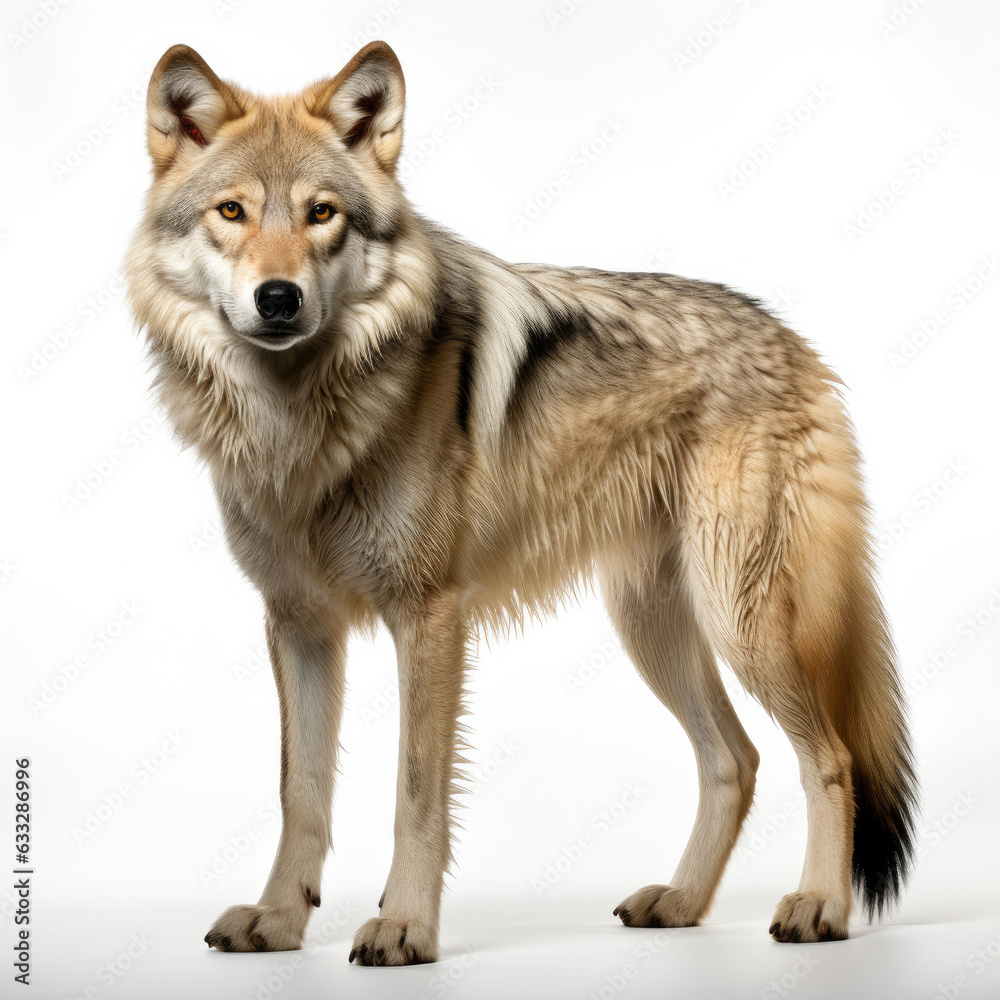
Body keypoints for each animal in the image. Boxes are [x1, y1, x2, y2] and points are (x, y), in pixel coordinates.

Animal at [129, 41, 916, 968]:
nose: (278, 298)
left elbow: (416, 795)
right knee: (736, 759)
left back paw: (820, 906)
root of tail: (796, 343)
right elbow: (301, 792)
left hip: (738, 618)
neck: (301, 422)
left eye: (323, 214)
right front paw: (280, 921)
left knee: (829, 757)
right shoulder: (299, 625)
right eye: (233, 212)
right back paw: (681, 903)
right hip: (651, 626)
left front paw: (404, 927)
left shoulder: (428, 617)